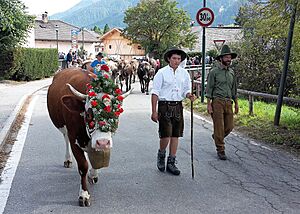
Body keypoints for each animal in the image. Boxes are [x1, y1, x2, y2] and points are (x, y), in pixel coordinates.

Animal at [47, 65, 129, 206]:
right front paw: (84, 195)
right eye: (89, 114)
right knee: (65, 139)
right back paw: (67, 160)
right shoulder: (74, 139)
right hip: (64, 129)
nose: (103, 142)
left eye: (115, 113)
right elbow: (83, 166)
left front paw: (93, 175)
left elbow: (94, 162)